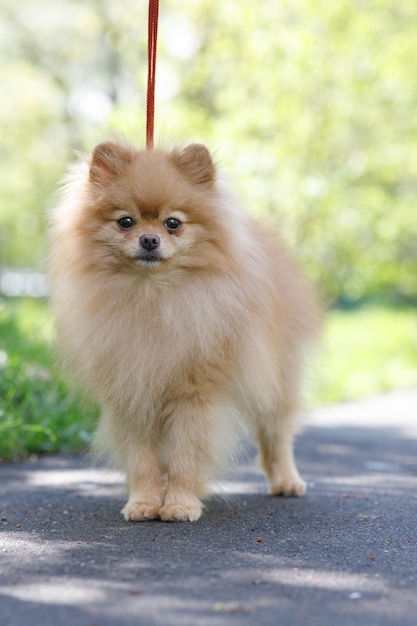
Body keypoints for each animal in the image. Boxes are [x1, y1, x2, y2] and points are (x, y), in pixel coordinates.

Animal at [50, 141, 320, 520]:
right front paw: (144, 501)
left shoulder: (194, 396)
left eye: (173, 223)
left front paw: (180, 503)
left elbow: (186, 456)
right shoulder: (131, 392)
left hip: (277, 378)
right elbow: (142, 459)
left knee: (276, 434)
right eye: (126, 221)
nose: (149, 239)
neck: (151, 296)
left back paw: (286, 482)